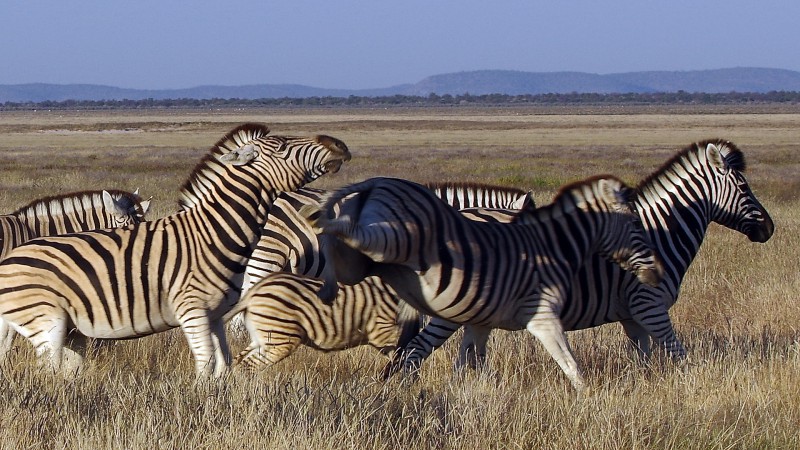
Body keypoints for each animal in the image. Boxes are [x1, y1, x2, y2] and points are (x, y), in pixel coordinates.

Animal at [306, 174, 664, 392]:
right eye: (635, 223)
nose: (655, 274)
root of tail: (373, 182)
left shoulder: (478, 317)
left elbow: (468, 358)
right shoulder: (541, 316)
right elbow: (570, 364)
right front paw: (588, 397)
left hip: (361, 262)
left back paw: (327, 279)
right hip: (390, 240)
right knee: (345, 232)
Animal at [388, 138, 776, 376]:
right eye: (744, 188)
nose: (769, 228)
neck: (661, 231)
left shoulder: (632, 316)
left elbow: (645, 361)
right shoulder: (650, 306)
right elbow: (679, 356)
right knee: (415, 352)